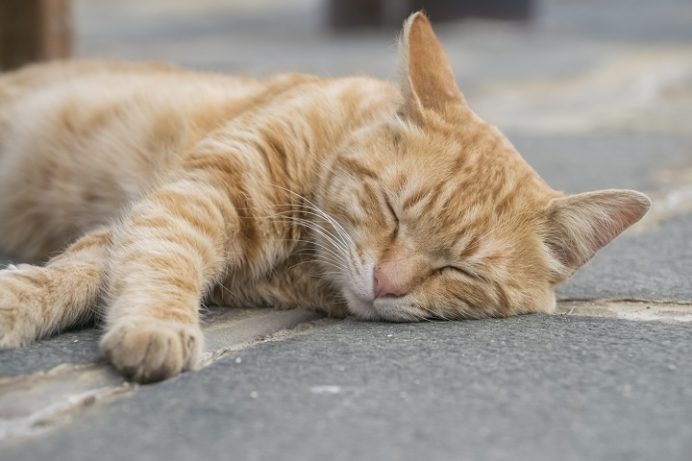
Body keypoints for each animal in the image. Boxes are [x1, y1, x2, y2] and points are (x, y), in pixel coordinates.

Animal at [0, 13, 648, 380]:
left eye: (458, 270)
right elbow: (147, 260)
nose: (386, 283)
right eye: (391, 209)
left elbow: (105, 266)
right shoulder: (191, 195)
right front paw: (150, 325)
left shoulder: (153, 216)